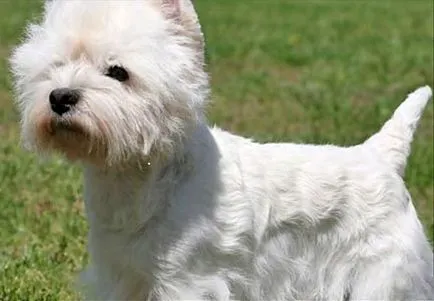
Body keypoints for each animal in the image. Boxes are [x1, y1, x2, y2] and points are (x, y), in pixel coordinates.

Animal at [9, 0, 434, 300]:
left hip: (387, 279)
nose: (60, 97)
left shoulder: (185, 281)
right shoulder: (122, 276)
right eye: (57, 64)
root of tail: (380, 155)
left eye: (118, 72)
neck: (142, 177)